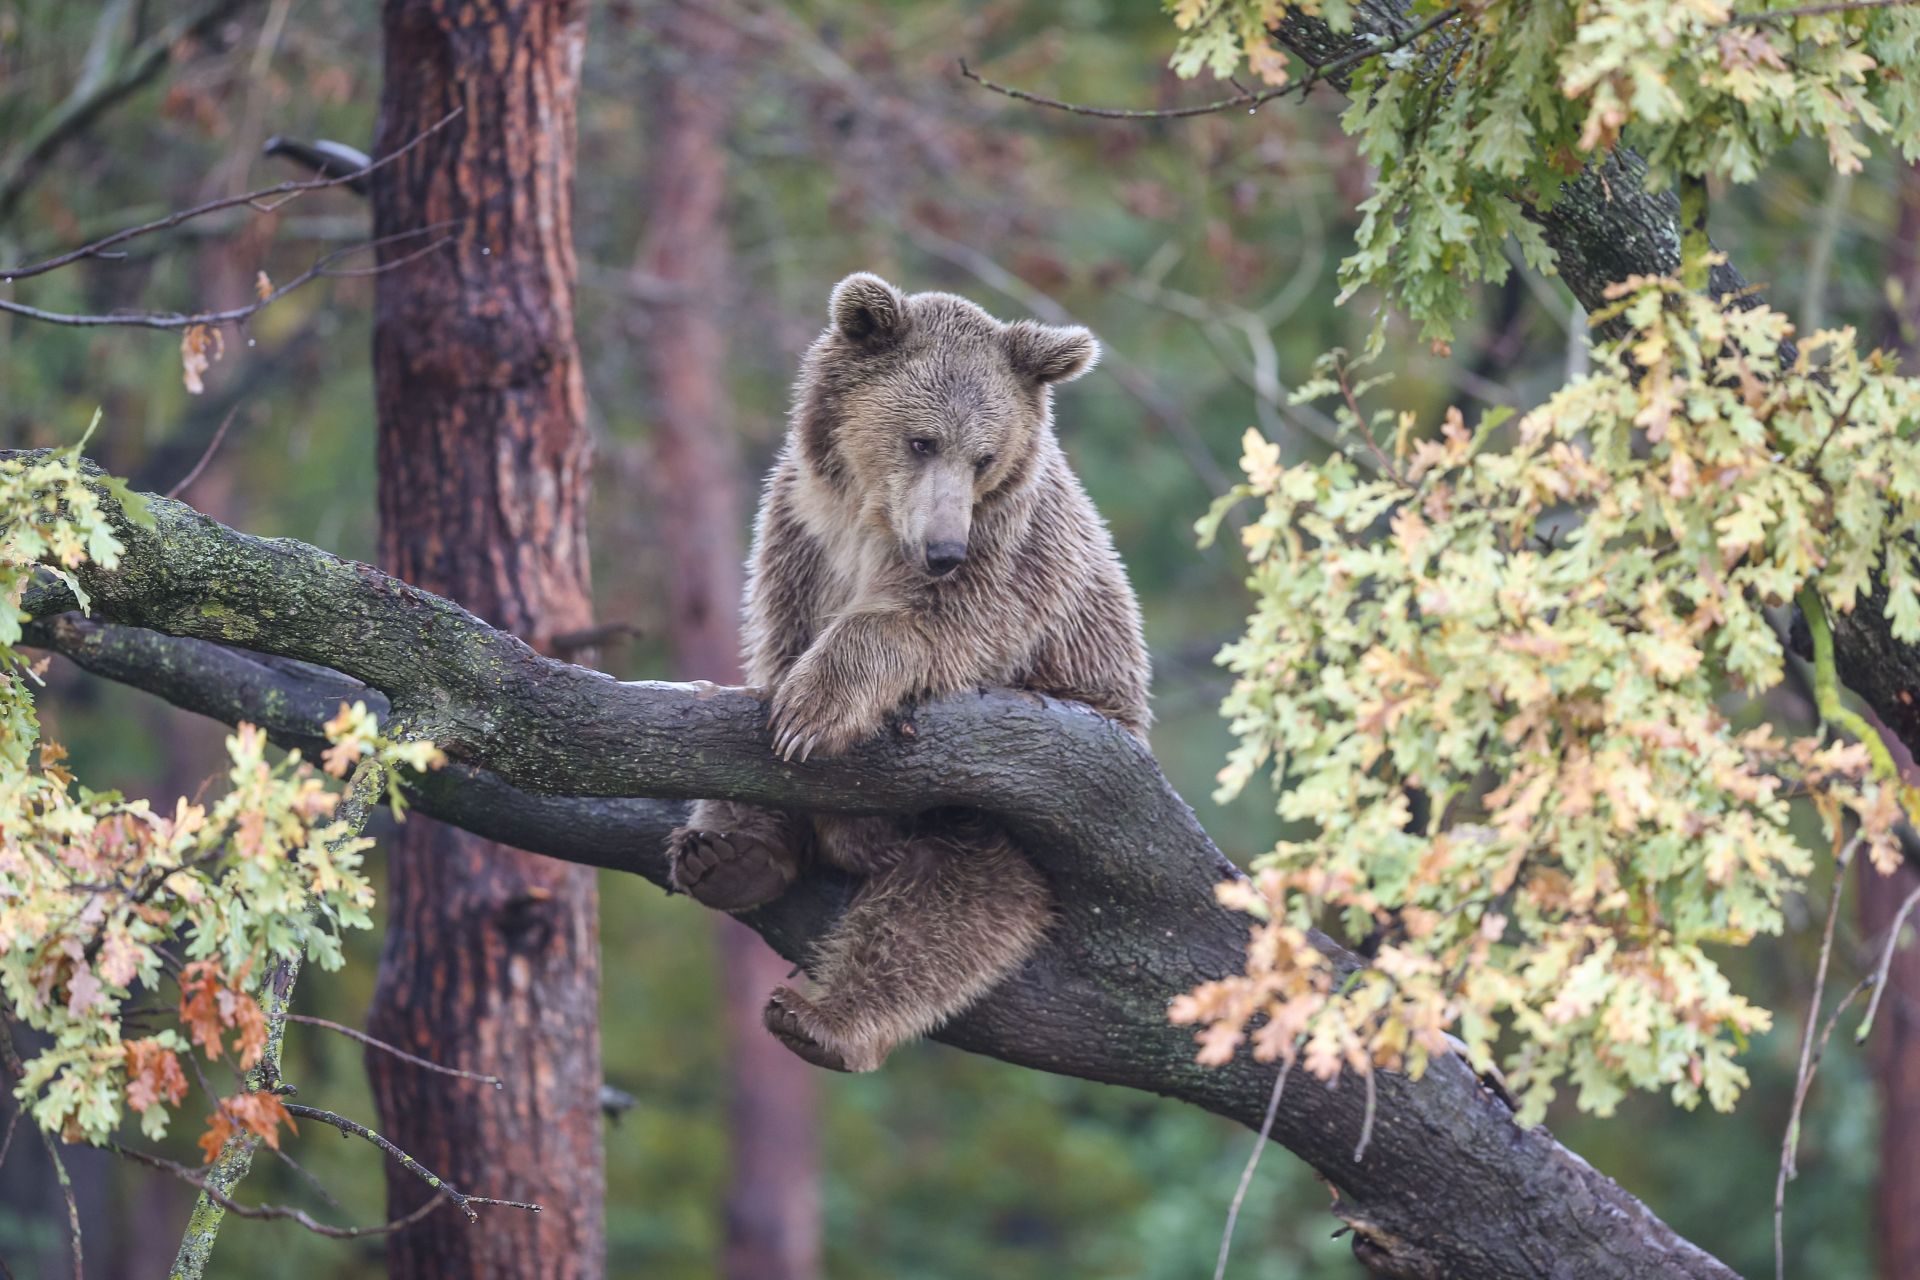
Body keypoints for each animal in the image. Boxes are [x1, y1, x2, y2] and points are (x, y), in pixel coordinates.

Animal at [668, 276, 1144, 1074]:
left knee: (943, 908)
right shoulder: (799, 535)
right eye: (922, 440)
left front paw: (813, 711)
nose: (945, 549)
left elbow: (927, 631)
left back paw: (820, 1018)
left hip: (1027, 816)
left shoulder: (1008, 557)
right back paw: (730, 856)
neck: (869, 518)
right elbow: (772, 659)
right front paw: (779, 748)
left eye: (984, 456)